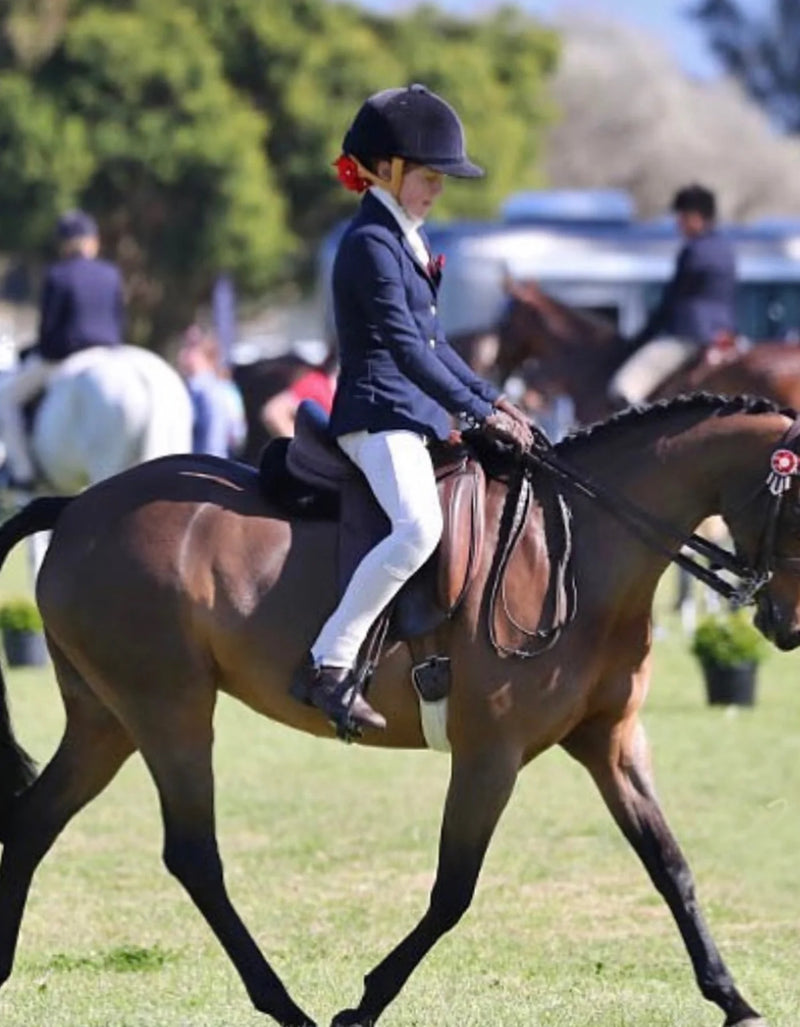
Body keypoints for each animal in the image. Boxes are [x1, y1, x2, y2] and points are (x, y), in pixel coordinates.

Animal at [0, 392, 796, 1027]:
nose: (786, 627)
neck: (576, 548)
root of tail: (78, 506)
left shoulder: (613, 740)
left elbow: (670, 865)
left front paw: (735, 1000)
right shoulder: (490, 755)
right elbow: (452, 890)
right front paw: (363, 1003)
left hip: (106, 720)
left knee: (37, 821)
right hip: (170, 710)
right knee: (194, 855)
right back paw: (286, 1006)